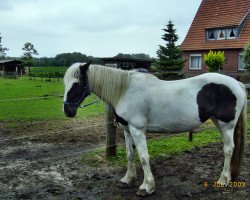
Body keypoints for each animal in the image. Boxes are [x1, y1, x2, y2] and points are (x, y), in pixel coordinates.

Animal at [62, 61, 246, 197]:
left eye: (77, 83)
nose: (68, 111)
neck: (125, 91)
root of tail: (237, 83)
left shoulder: (137, 130)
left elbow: (144, 157)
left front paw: (147, 187)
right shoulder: (127, 130)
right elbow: (130, 155)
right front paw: (127, 180)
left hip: (226, 125)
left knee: (228, 149)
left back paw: (223, 180)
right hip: (217, 122)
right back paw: (230, 177)